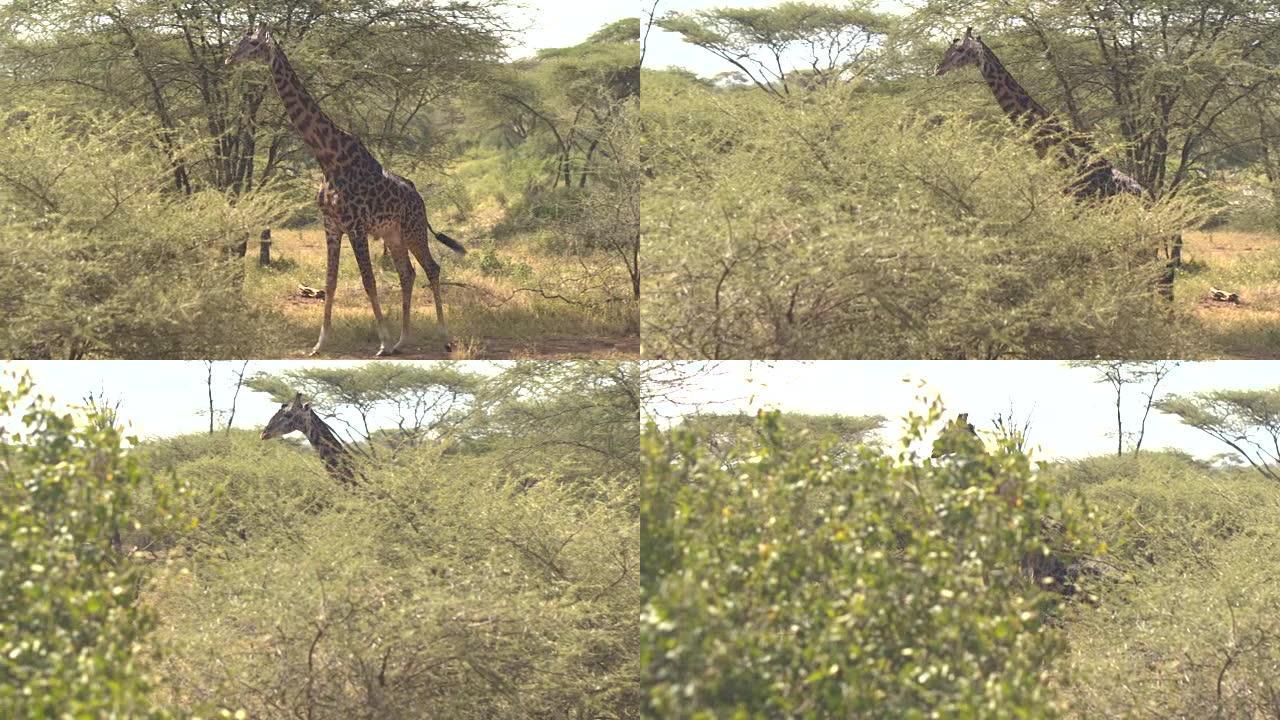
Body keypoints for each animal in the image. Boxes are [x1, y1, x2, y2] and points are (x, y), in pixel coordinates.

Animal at [225, 23, 465, 353]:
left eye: (252, 44)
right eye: (240, 40)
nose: (229, 59)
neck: (328, 157)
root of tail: (419, 197)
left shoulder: (355, 225)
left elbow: (368, 281)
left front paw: (382, 343)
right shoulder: (331, 225)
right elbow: (330, 282)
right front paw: (320, 343)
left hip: (413, 229)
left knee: (432, 268)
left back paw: (442, 337)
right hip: (393, 234)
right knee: (408, 273)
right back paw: (403, 340)